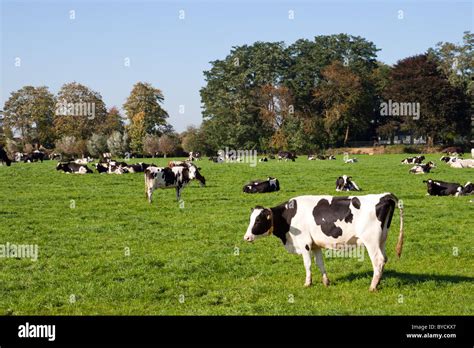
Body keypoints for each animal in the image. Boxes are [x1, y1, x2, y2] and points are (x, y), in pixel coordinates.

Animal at [244, 193, 404, 290]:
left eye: (258, 220)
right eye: (251, 219)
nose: (246, 237)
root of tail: (385, 196)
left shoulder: (304, 244)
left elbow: (307, 264)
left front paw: (308, 283)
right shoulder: (315, 245)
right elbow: (320, 263)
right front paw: (326, 282)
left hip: (371, 241)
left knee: (378, 260)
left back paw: (372, 286)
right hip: (381, 240)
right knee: (384, 259)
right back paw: (378, 282)